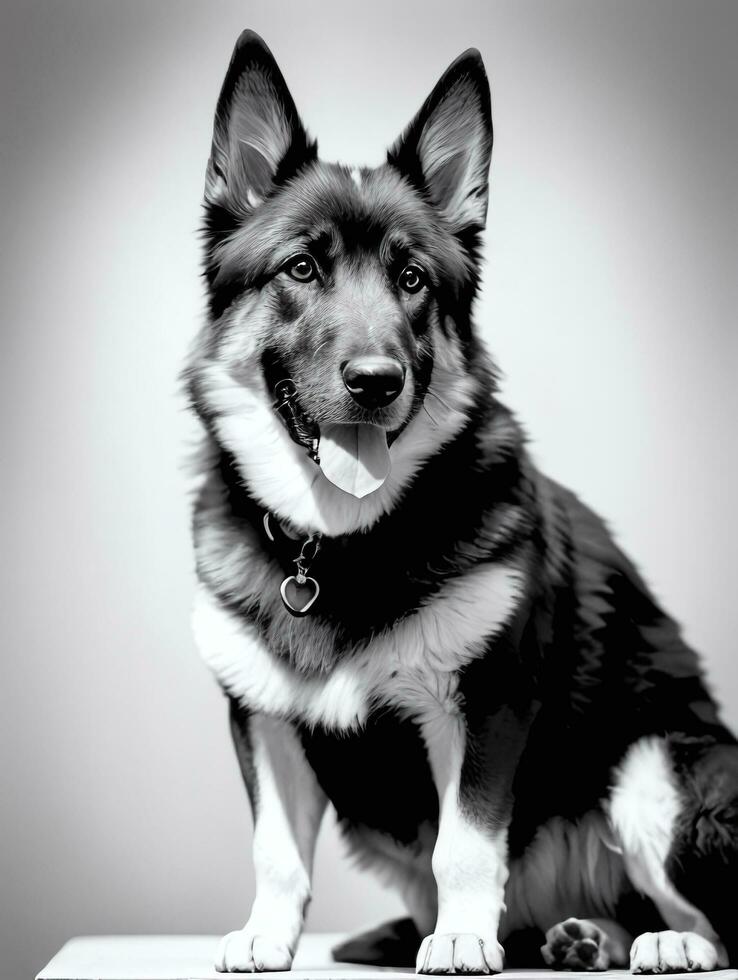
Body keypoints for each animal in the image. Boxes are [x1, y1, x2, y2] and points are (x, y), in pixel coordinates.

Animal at [185, 28, 738, 972]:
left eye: (412, 279)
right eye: (301, 267)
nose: (376, 382)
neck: (342, 544)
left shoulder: (483, 705)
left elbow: (467, 845)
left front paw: (461, 937)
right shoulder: (262, 718)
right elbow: (276, 851)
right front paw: (267, 934)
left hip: (654, 770)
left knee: (716, 916)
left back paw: (669, 943)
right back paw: (584, 936)